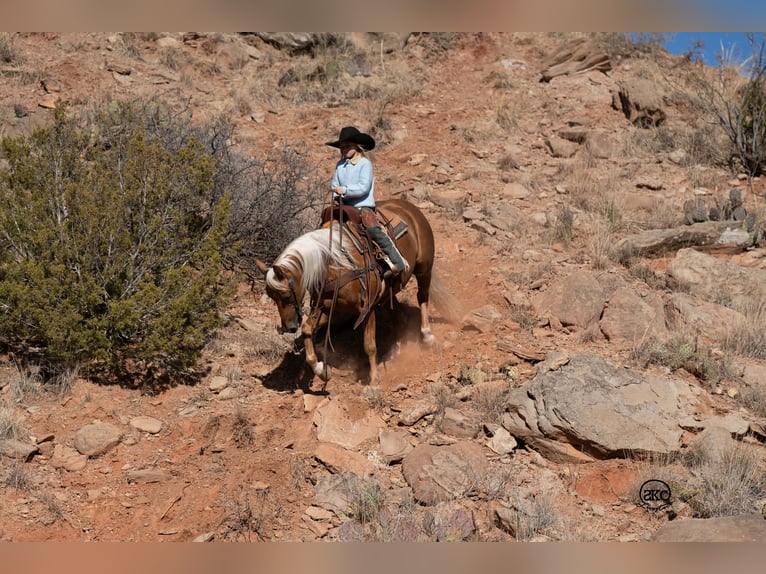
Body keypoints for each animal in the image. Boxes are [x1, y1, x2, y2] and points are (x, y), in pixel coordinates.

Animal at [255, 198, 437, 386]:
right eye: (271, 297)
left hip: (424, 269)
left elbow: (369, 345)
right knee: (397, 313)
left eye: (285, 295)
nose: (289, 327)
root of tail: (406, 204)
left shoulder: (366, 309)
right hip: (389, 291)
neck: (334, 265)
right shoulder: (328, 308)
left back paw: (427, 336)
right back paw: (396, 348)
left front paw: (373, 379)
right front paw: (322, 370)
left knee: (422, 297)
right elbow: (307, 329)